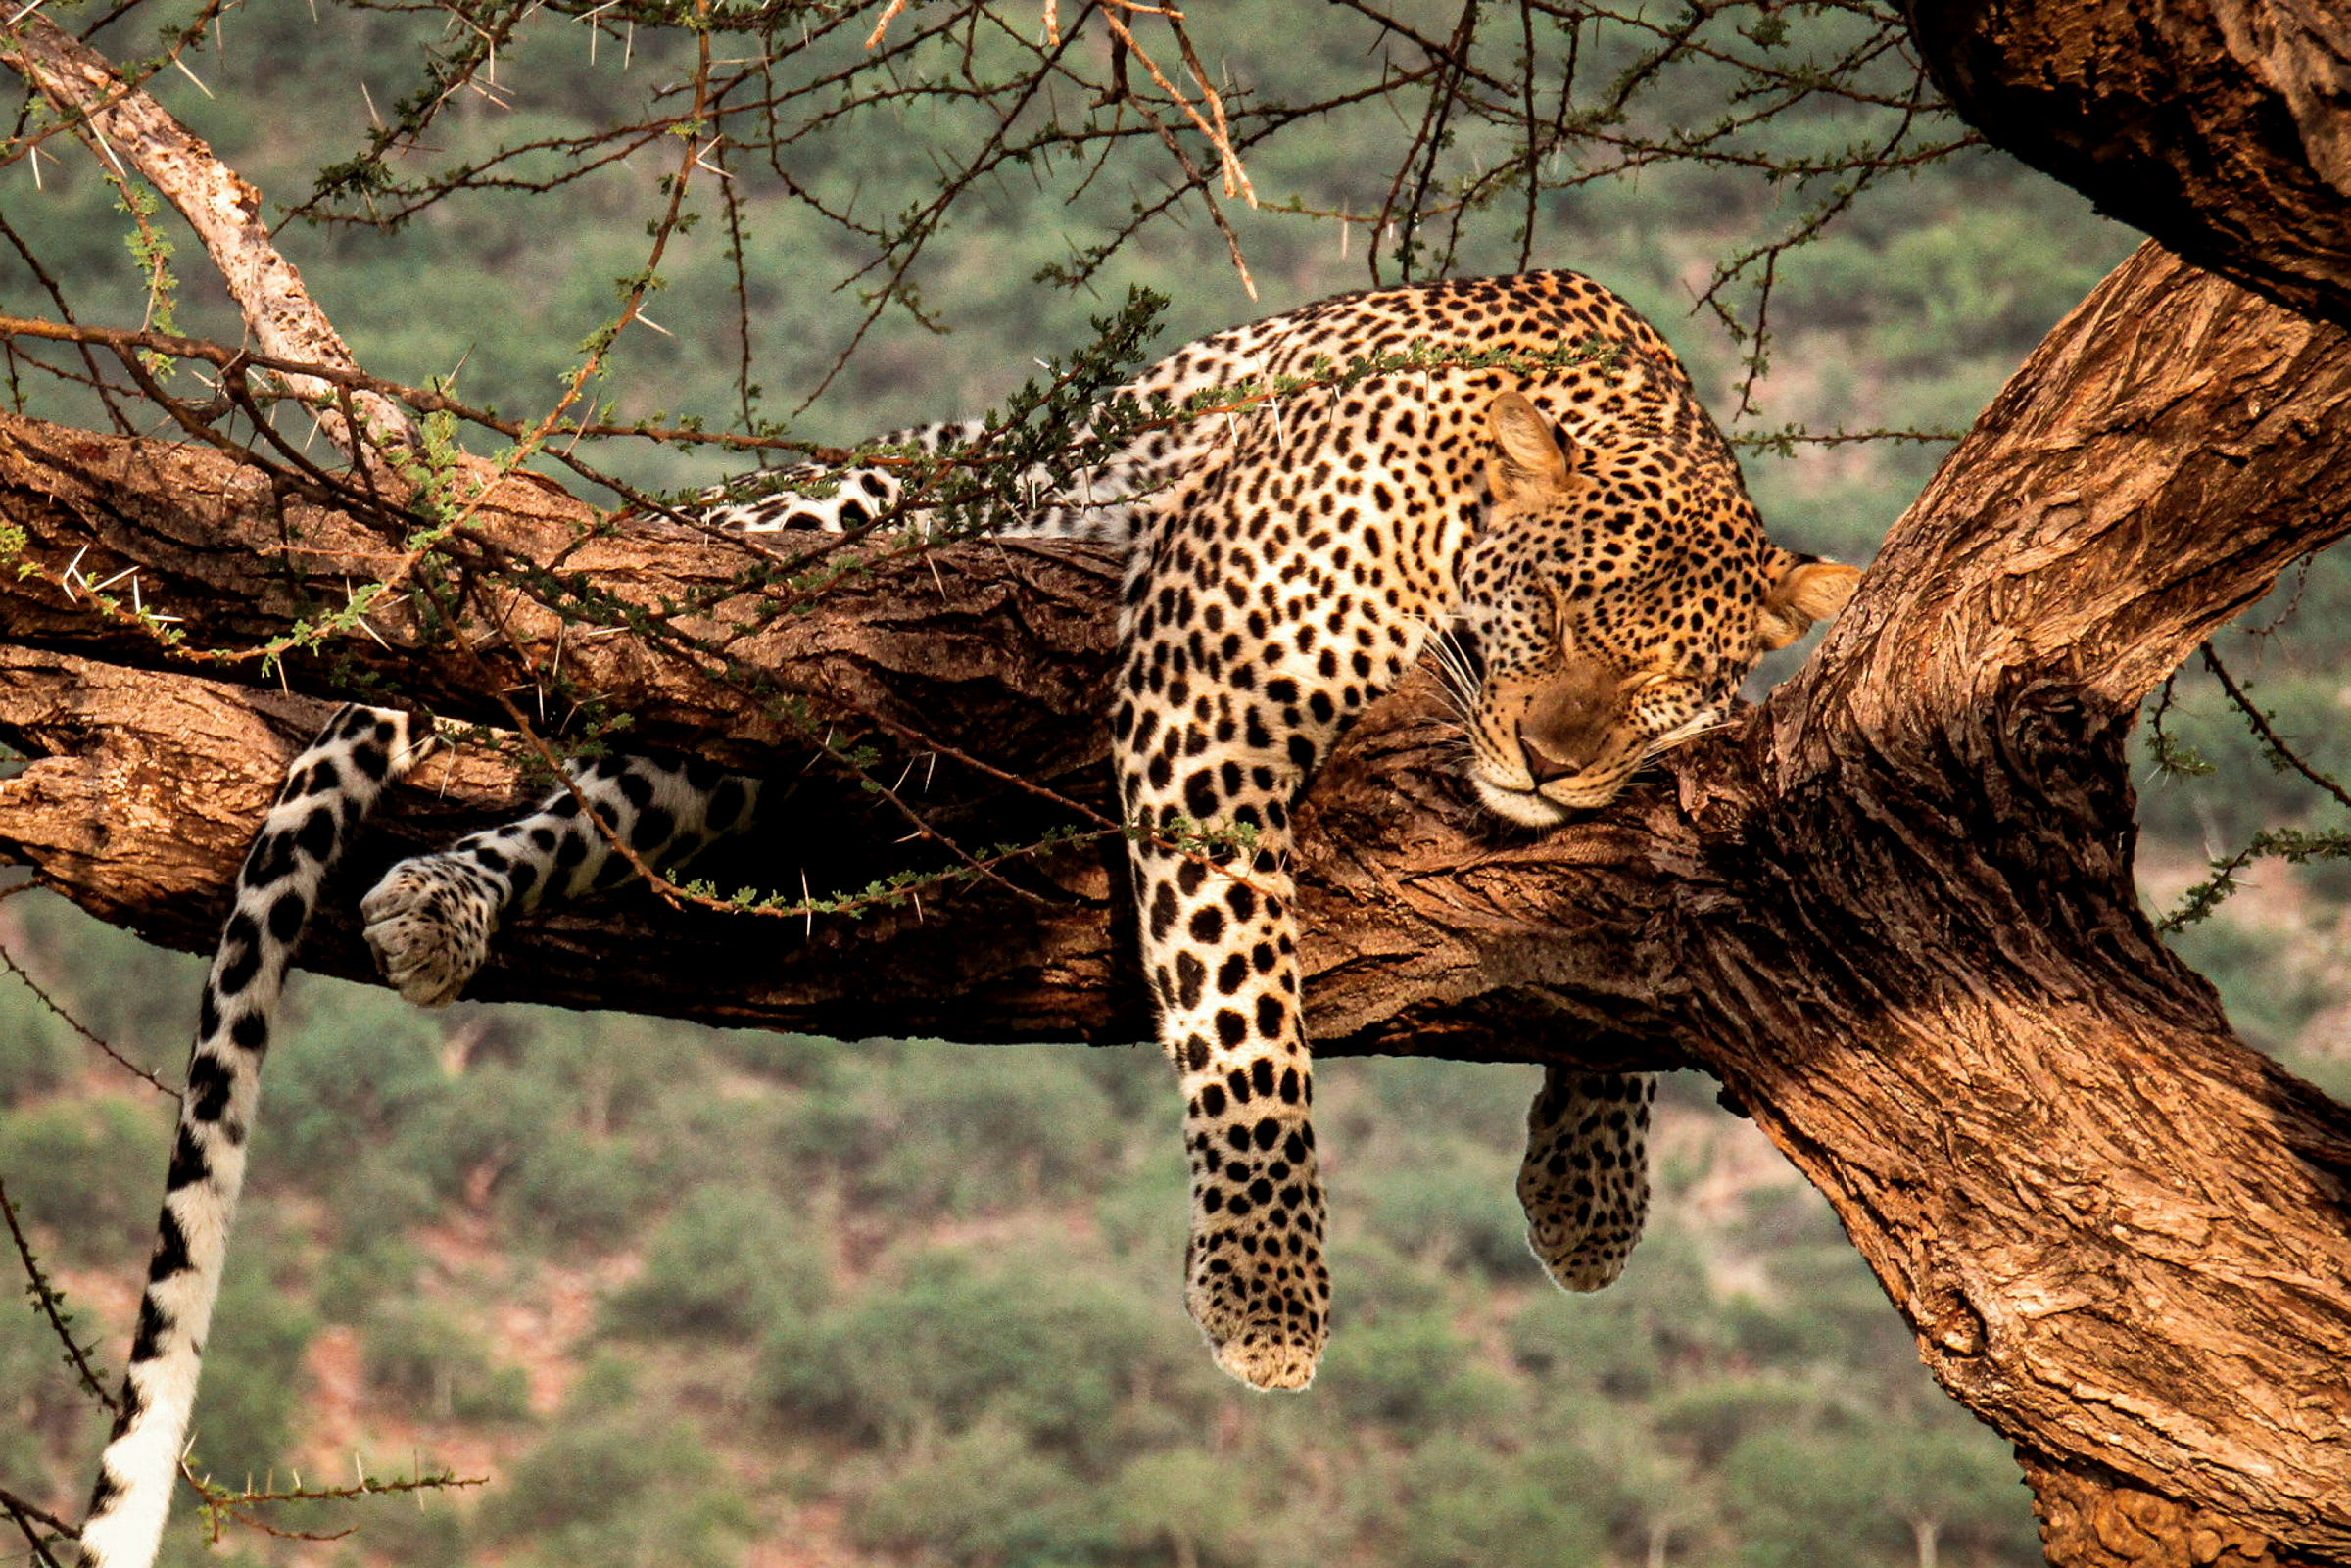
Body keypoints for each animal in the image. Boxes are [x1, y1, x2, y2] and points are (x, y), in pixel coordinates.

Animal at [77, 269, 1856, 1568]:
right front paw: (1268, 1288)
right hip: (815, 580)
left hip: (746, 746)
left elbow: (1623, 956)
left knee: (631, 787)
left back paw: (449, 899)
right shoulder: (1212, 684)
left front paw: (1589, 1186)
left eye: (1666, 677)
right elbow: (1244, 1005)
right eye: (1551, 607)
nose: (1553, 756)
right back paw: (450, 884)